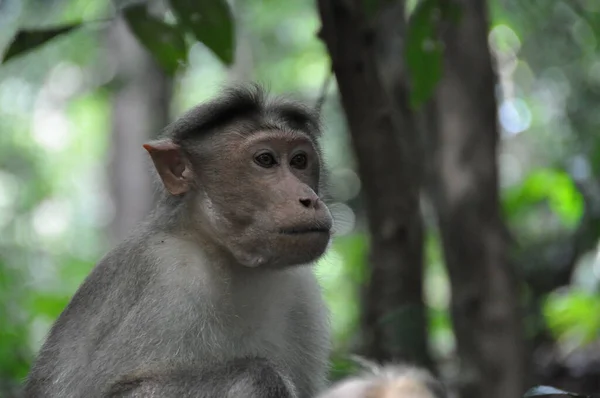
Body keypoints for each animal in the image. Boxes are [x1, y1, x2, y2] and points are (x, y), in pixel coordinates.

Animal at [23, 82, 332, 396]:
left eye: (299, 161)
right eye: (266, 160)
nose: (309, 199)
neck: (223, 255)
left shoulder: (301, 292)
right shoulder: (170, 277)